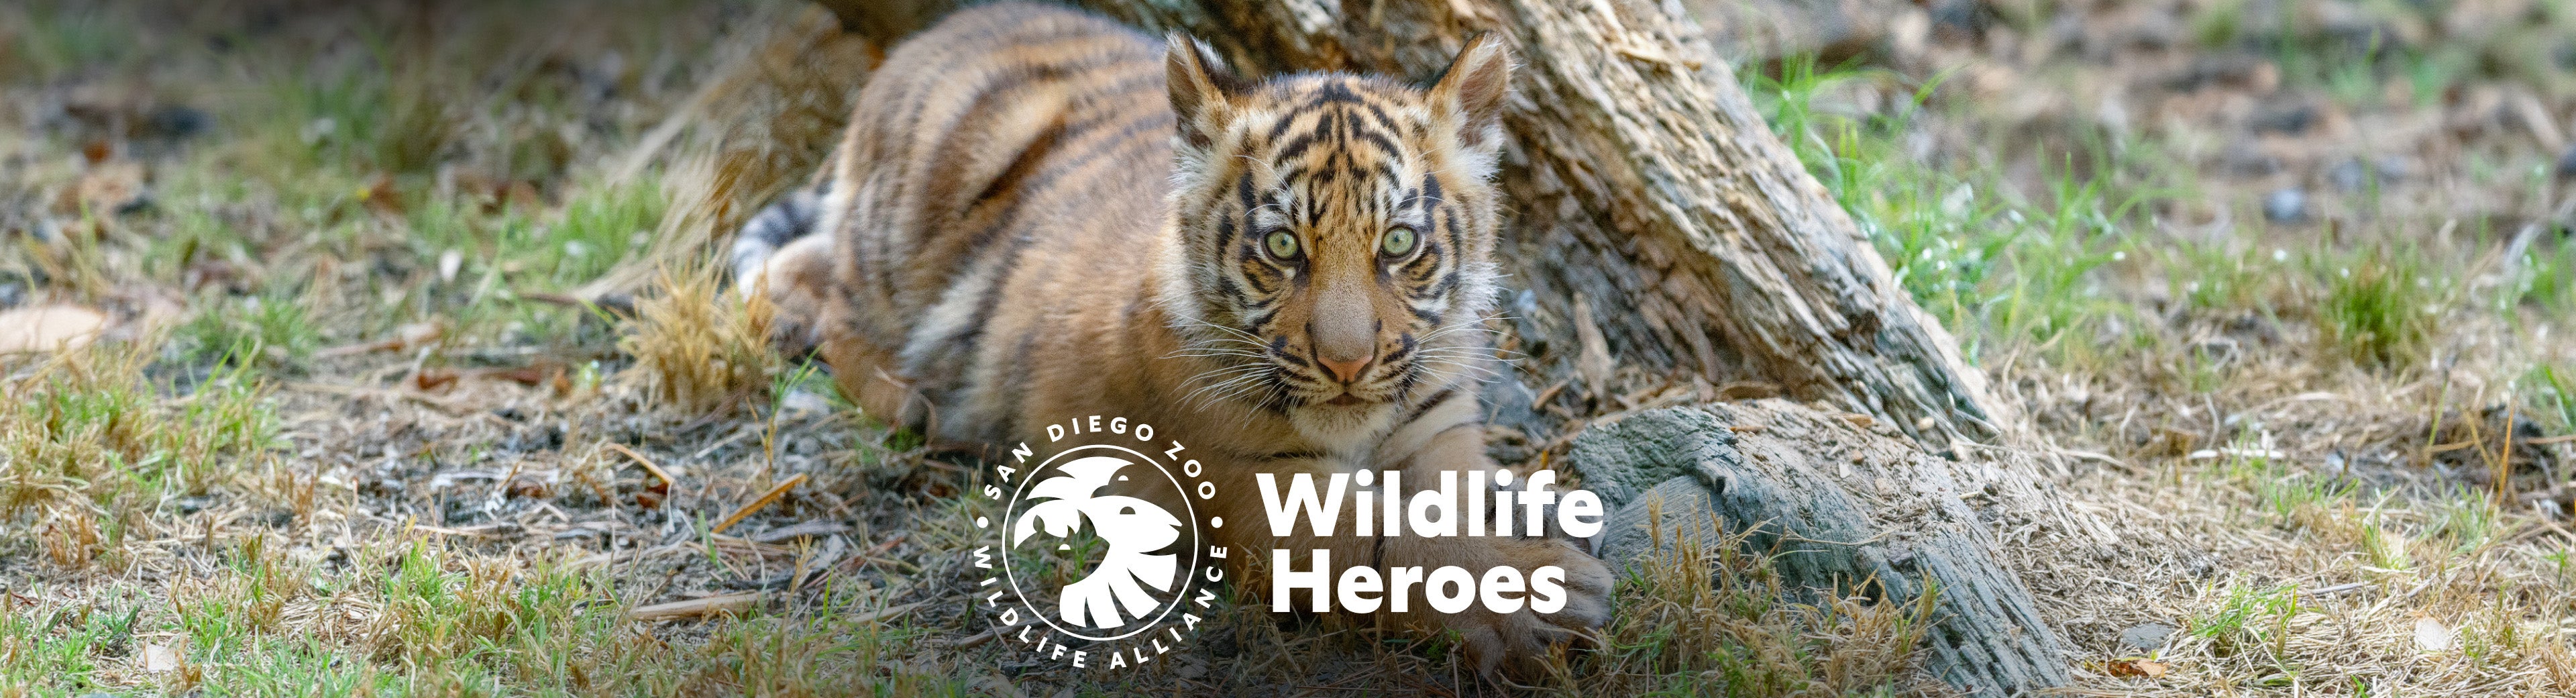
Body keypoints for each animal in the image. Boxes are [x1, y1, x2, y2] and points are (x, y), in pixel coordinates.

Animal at [732, 2, 1611, 673]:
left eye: (1398, 244)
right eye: (1281, 247)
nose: (1346, 362)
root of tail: (930, 34)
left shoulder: (1437, 431)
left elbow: (1463, 499)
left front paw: (1545, 514)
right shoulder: (1256, 483)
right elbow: (1393, 539)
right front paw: (1543, 589)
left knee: (806, 260)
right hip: (912, 209)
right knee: (838, 299)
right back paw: (909, 395)